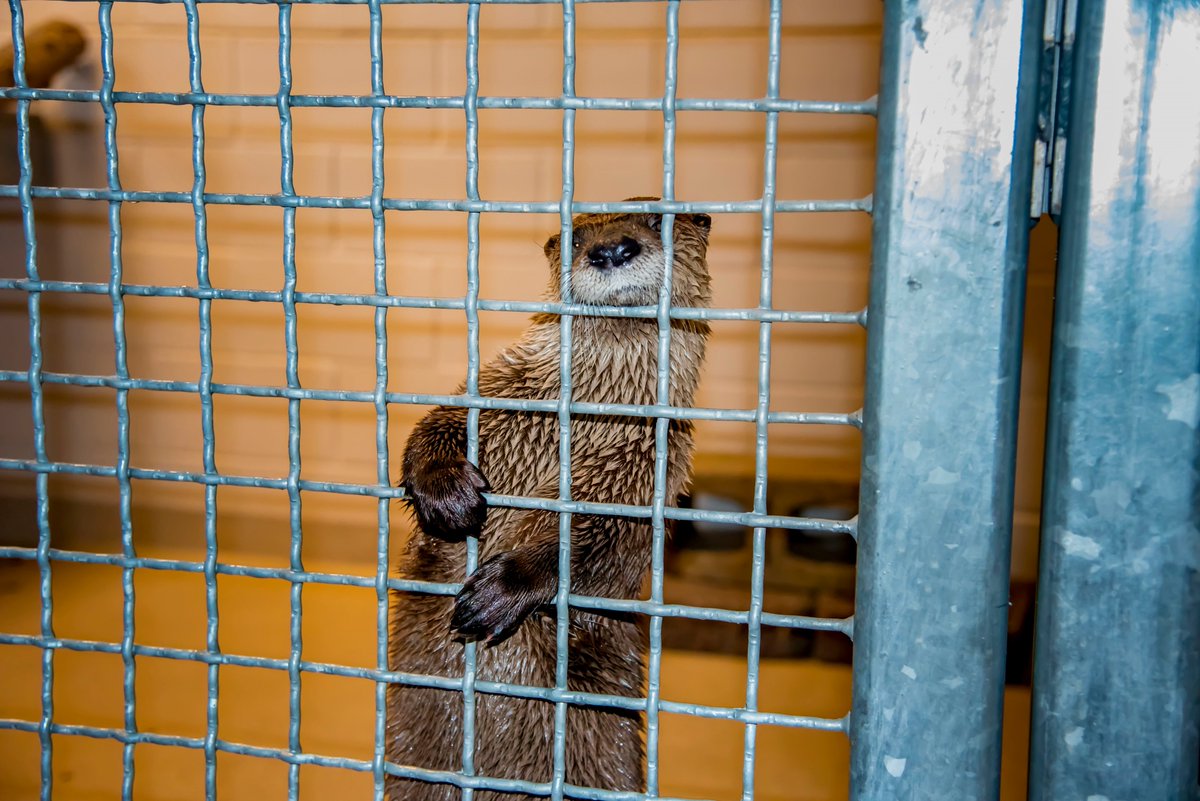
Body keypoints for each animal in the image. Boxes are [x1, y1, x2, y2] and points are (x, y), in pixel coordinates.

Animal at [386, 199, 712, 801]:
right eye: (576, 236)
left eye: (659, 219)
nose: (611, 249)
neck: (585, 418)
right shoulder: (501, 392)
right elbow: (436, 425)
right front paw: (446, 491)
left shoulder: (647, 471)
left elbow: (597, 544)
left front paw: (502, 590)